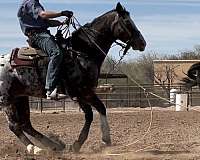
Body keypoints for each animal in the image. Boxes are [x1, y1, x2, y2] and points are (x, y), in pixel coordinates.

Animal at [0, 2, 145, 154]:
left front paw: (104, 140)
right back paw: (35, 148)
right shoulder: (80, 92)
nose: (142, 43)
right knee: (14, 126)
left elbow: (100, 109)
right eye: (128, 22)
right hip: (6, 99)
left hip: (20, 97)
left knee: (26, 124)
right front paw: (81, 143)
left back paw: (54, 145)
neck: (81, 52)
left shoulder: (85, 92)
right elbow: (91, 114)